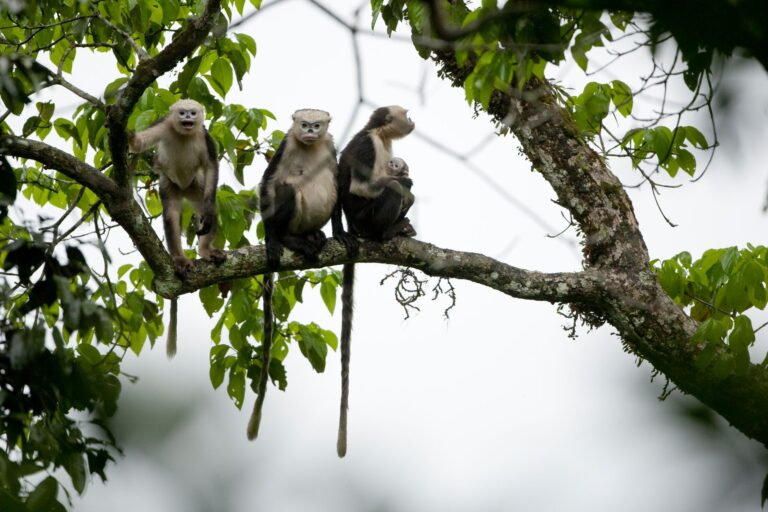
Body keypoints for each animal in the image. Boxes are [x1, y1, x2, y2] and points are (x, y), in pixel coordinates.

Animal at [128, 98, 225, 358]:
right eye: (182, 113)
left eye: (192, 113)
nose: (188, 118)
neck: (184, 134)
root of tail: (183, 188)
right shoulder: (163, 125)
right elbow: (139, 143)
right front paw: (128, 135)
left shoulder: (205, 137)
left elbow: (211, 166)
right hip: (170, 185)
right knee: (171, 215)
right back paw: (179, 259)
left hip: (195, 186)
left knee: (208, 208)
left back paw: (206, 250)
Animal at [246, 107, 354, 440]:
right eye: (303, 124)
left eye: (316, 126)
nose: (308, 131)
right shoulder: (285, 144)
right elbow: (267, 182)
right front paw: (271, 240)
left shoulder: (331, 146)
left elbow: (339, 181)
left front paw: (340, 232)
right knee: (286, 189)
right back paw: (288, 239)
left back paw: (316, 236)